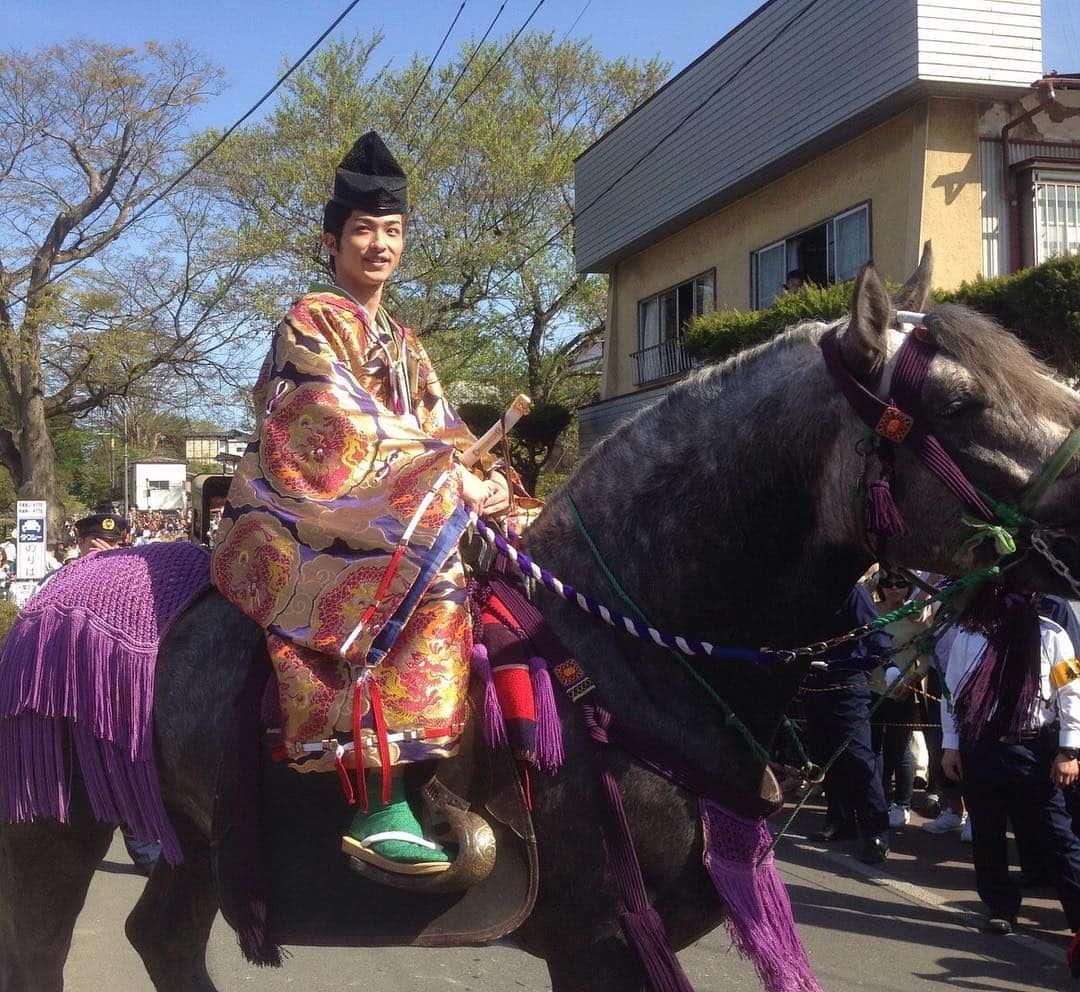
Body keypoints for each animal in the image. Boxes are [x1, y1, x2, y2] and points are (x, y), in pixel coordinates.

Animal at [2, 250, 1080, 992]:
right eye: (959, 402)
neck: (633, 651)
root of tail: (50, 596)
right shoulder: (598, 937)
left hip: (191, 824)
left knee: (165, 937)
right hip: (54, 823)